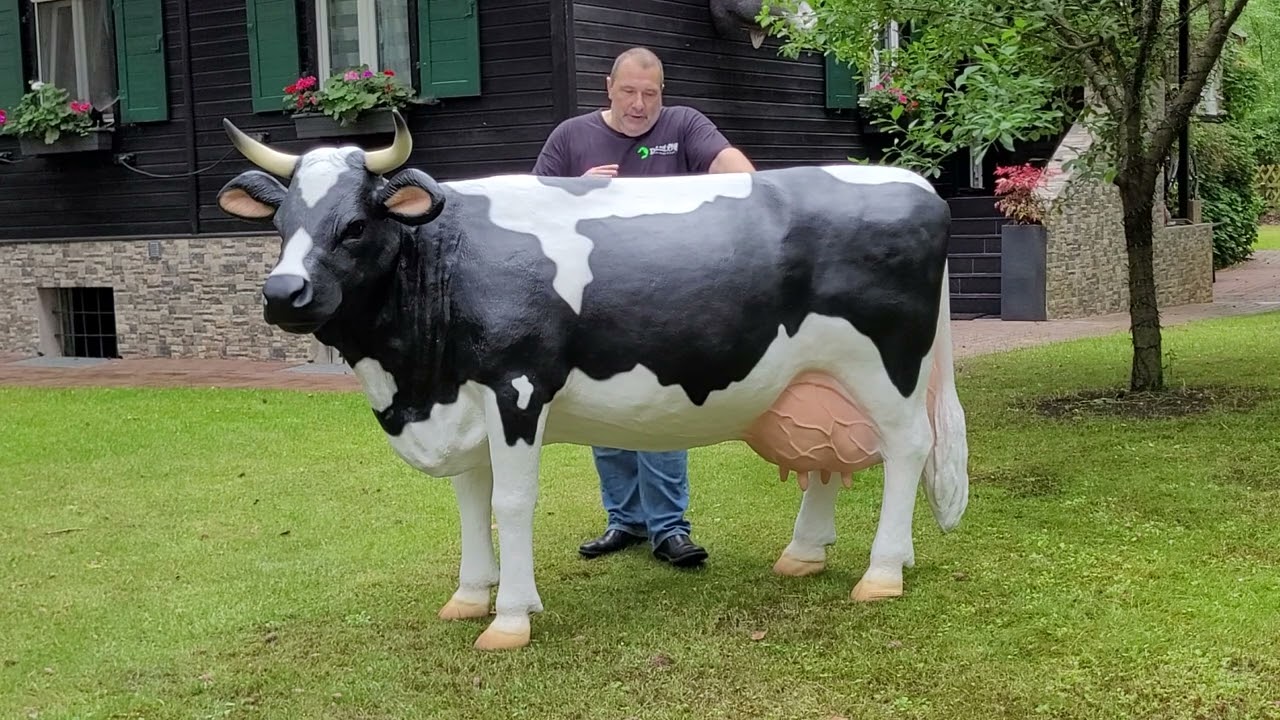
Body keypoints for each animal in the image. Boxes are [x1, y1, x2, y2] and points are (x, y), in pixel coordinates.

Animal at [217, 109, 967, 648]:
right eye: (281, 222)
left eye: (353, 224)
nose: (282, 293)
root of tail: (914, 184)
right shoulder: (459, 399)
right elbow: (469, 503)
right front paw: (469, 597)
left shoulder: (516, 386)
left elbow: (511, 503)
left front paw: (510, 619)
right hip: (818, 377)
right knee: (829, 457)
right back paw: (805, 554)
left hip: (888, 366)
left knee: (907, 449)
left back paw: (881, 573)